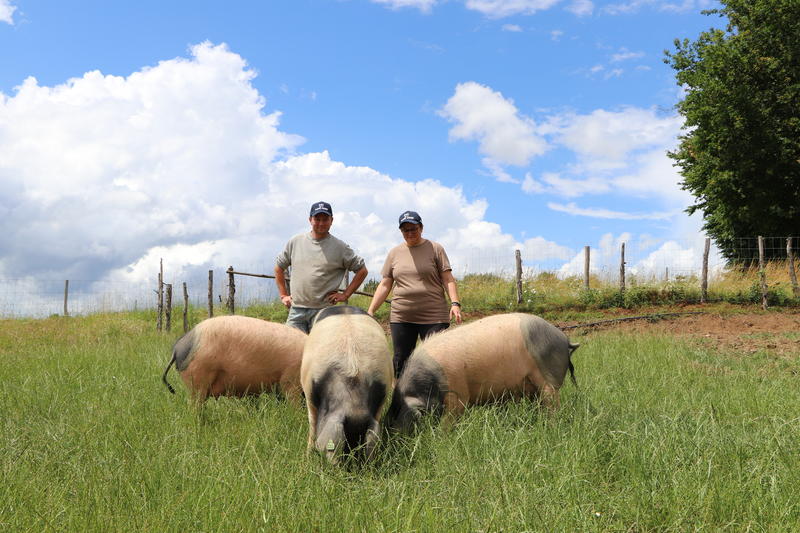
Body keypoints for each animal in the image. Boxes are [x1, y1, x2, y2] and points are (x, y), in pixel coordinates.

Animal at [387, 313, 579, 432]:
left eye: (400, 414)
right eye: (391, 412)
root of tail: (564, 338)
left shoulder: (457, 394)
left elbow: (449, 420)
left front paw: (443, 437)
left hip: (548, 378)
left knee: (552, 405)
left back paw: (550, 426)